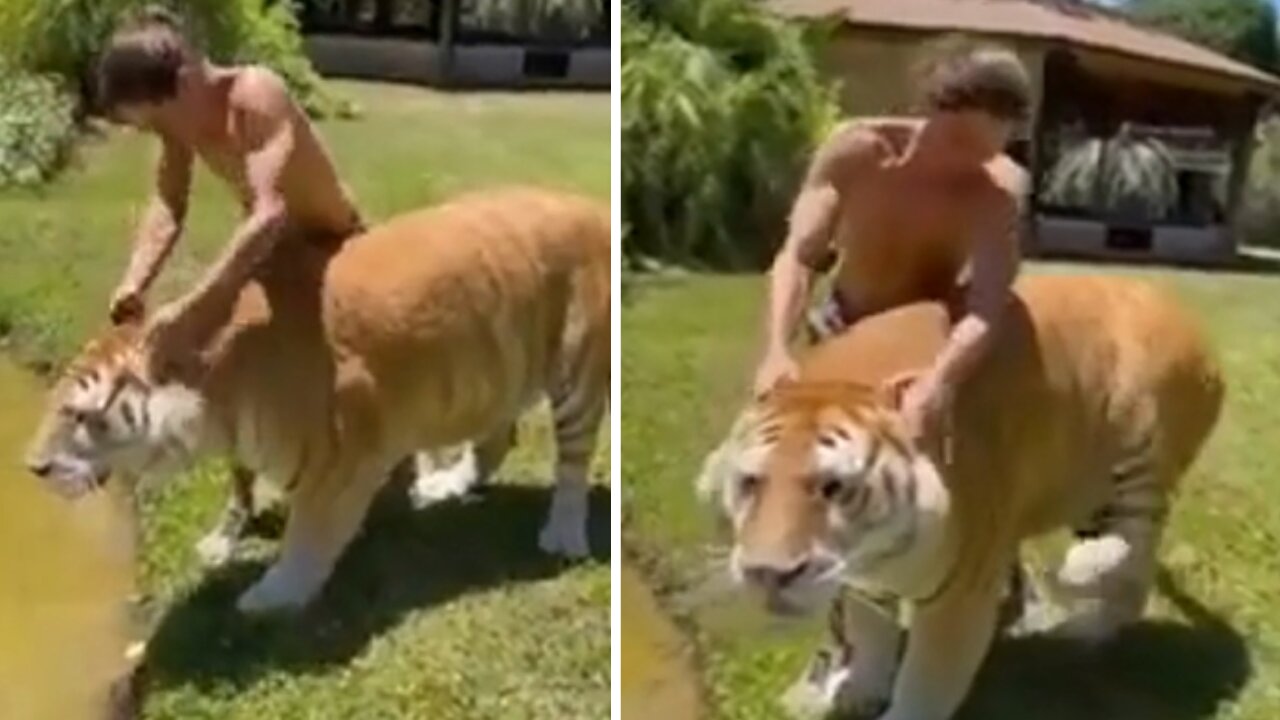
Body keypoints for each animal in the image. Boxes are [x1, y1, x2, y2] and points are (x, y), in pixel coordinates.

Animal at [22, 184, 611, 609]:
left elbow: (307, 535)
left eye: (77, 415)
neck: (218, 395)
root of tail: (596, 206)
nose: (32, 468)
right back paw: (446, 485)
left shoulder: (342, 457)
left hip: (577, 378)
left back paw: (562, 535)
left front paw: (270, 596)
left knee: (572, 466)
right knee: (496, 439)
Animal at [696, 271, 1223, 712]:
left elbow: (925, 685)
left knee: (1135, 545)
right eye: (750, 483)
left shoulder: (959, 594)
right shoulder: (864, 586)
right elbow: (871, 637)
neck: (879, 555)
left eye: (834, 487)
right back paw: (1086, 624)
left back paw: (1077, 582)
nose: (768, 574)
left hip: (1142, 466)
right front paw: (859, 691)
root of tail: (1179, 308)